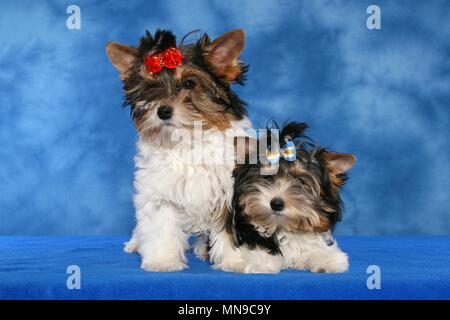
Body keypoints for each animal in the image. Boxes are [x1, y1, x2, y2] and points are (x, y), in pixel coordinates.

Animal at [107, 29, 251, 270]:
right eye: (150, 89)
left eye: (189, 84)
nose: (163, 111)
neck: (187, 141)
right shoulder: (158, 191)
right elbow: (161, 225)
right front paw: (162, 260)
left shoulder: (229, 191)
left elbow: (230, 230)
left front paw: (236, 261)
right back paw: (136, 243)